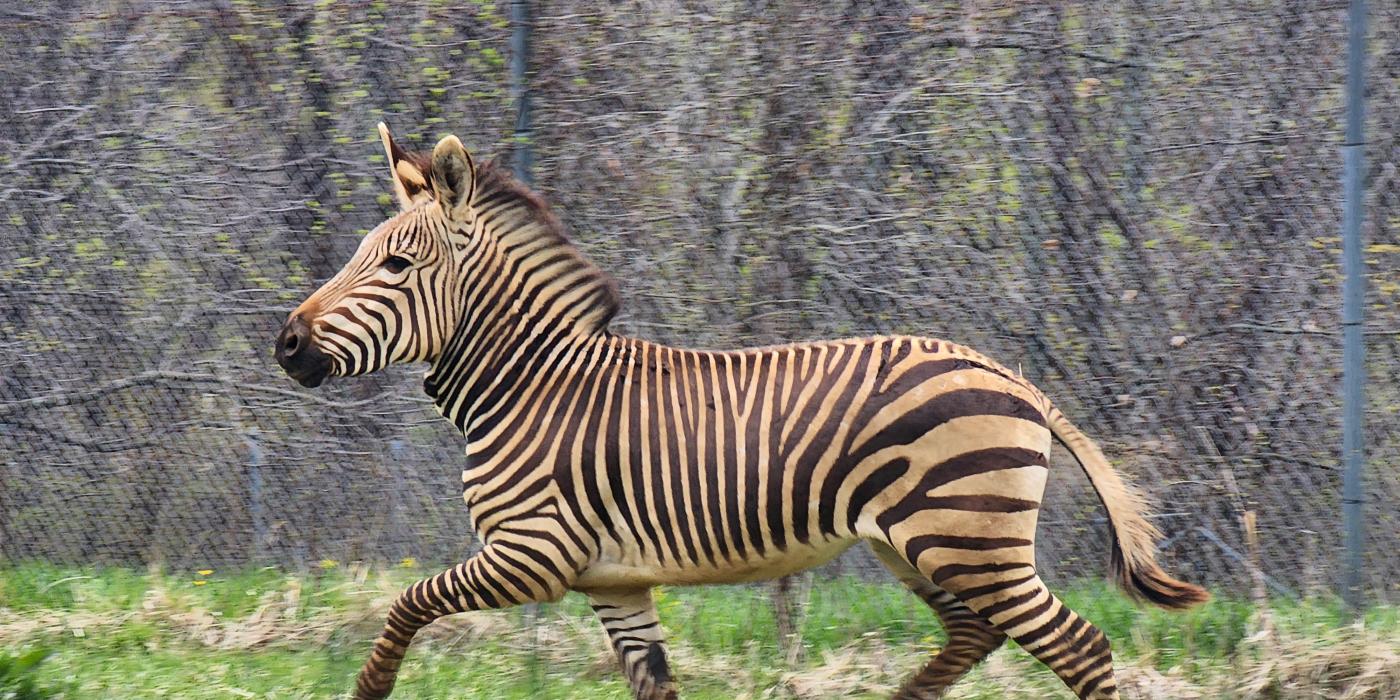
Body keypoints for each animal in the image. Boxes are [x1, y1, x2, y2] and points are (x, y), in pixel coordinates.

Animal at [275, 126, 1215, 700]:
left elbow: (406, 603)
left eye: (395, 266)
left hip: (967, 542)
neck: (530, 385)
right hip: (922, 545)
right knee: (973, 636)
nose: (286, 344)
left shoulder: (534, 555)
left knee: (1078, 648)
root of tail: (1015, 379)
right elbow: (654, 684)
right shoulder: (616, 581)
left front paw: (369, 691)